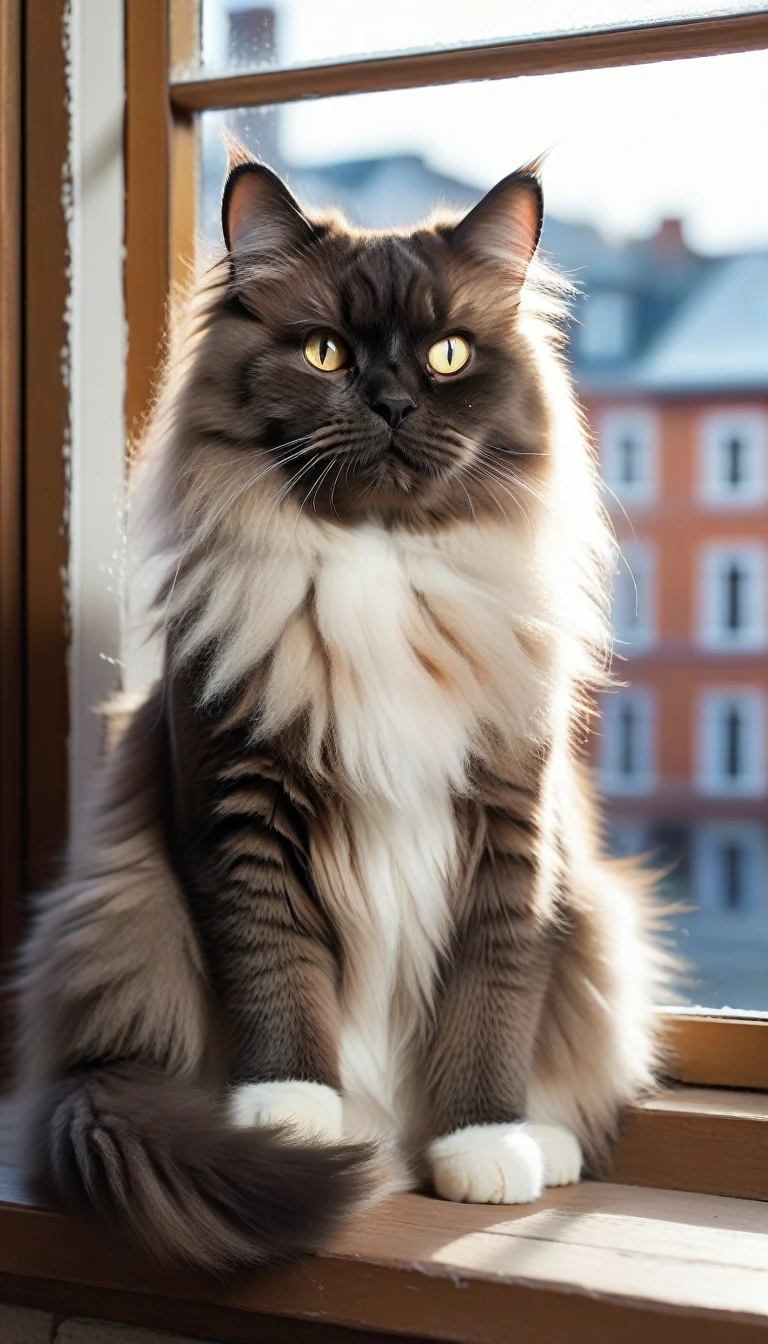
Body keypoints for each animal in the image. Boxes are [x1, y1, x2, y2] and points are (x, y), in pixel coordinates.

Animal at [16, 154, 667, 1268]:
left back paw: (526, 1145)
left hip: (591, 916)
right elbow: (280, 981)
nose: (396, 401)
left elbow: (493, 1002)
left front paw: (480, 1148)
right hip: (124, 917)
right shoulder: (242, 809)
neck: (377, 564)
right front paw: (294, 1121)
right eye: (326, 352)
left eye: (448, 355)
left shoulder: (510, 829)